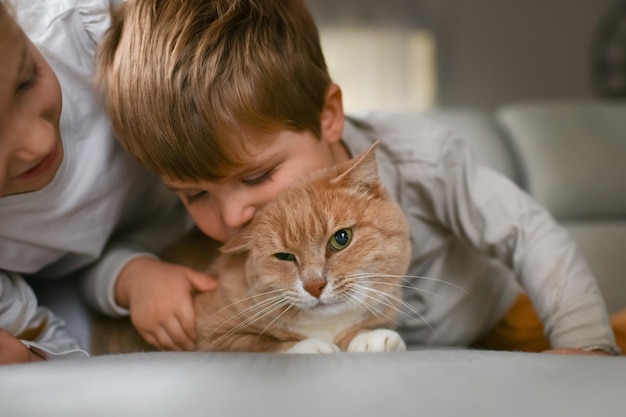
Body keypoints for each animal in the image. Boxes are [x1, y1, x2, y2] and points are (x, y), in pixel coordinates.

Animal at [190, 142, 414, 352]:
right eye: (284, 256)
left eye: (341, 238)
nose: (314, 286)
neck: (327, 326)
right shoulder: (213, 334)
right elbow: (258, 343)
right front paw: (311, 346)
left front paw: (370, 339)